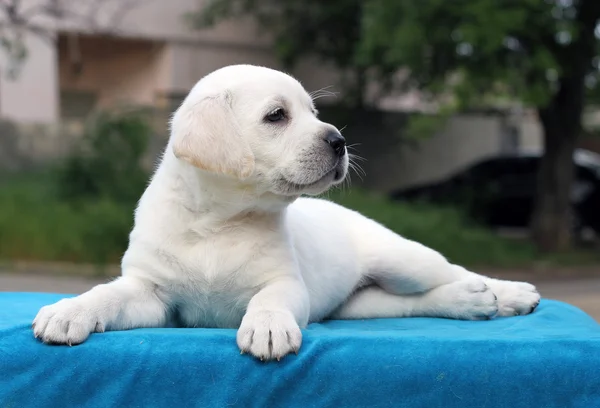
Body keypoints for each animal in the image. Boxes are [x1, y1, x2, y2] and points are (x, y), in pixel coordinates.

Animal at [31, 65, 540, 362]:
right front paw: (69, 311)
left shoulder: (286, 283)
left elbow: (269, 299)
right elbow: (106, 294)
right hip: (359, 304)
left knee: (455, 271)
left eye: (314, 113)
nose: (339, 141)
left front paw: (268, 327)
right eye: (277, 116)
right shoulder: (151, 295)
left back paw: (508, 294)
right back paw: (471, 302)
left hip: (403, 259)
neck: (217, 223)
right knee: (414, 302)